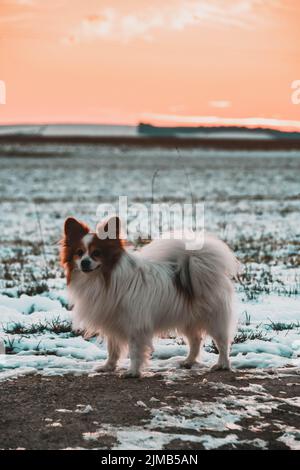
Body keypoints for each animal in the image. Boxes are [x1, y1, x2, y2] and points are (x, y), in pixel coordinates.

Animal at [61, 217, 239, 378]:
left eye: (96, 253)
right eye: (79, 253)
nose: (84, 262)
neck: (104, 279)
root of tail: (196, 262)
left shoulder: (135, 324)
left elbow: (134, 350)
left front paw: (133, 372)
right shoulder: (113, 322)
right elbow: (113, 349)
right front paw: (108, 367)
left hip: (213, 318)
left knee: (222, 342)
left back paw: (222, 364)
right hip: (188, 319)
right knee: (196, 340)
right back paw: (188, 361)